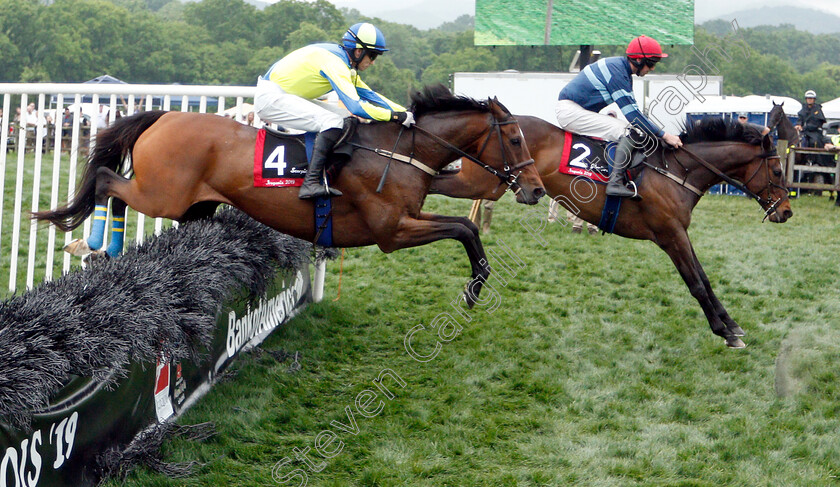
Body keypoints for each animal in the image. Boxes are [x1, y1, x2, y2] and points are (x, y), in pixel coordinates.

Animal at [34, 86, 544, 308]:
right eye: (515, 138)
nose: (537, 189)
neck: (400, 152)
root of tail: (164, 116)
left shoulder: (404, 222)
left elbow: (467, 225)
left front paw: (476, 282)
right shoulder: (392, 230)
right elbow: (464, 227)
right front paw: (476, 285)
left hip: (192, 205)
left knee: (117, 192)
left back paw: (106, 249)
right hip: (162, 194)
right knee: (107, 182)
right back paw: (96, 243)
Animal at [434, 115, 796, 346]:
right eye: (777, 170)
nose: (787, 212)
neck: (678, 172)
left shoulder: (680, 232)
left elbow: (704, 278)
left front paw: (731, 324)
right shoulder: (670, 235)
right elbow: (694, 283)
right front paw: (723, 331)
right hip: (481, 181)